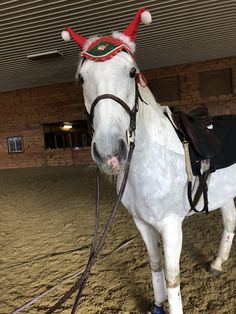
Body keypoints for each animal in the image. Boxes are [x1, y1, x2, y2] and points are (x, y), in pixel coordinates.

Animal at [62, 8, 236, 312]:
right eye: (82, 78)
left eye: (132, 72)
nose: (109, 152)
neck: (150, 162)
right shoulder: (142, 223)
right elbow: (155, 266)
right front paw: (156, 304)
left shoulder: (171, 226)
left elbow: (172, 278)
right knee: (229, 222)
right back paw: (216, 264)